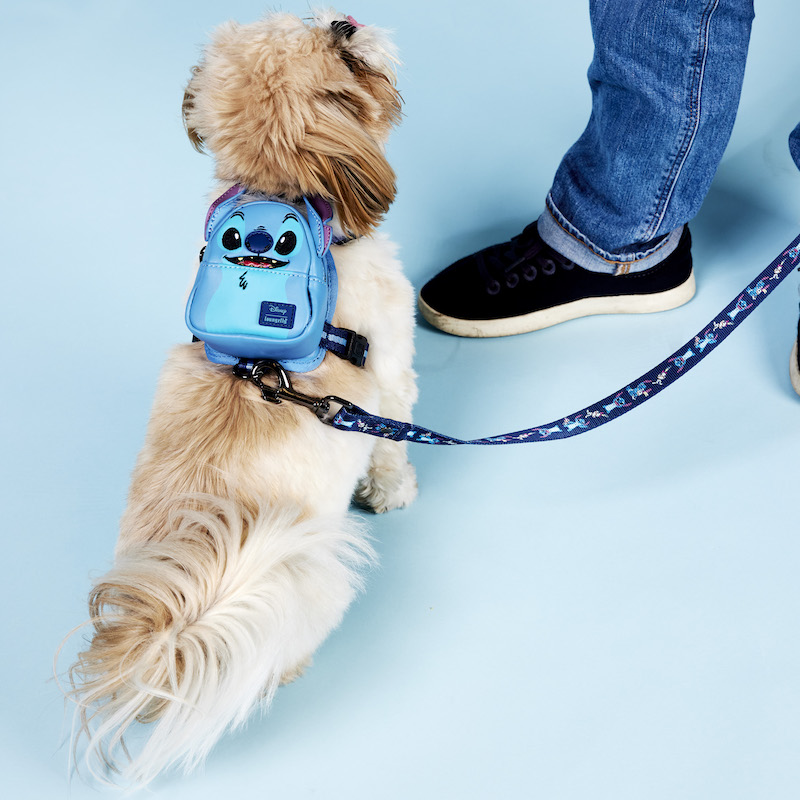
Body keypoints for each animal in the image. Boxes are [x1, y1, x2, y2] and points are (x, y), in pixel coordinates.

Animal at [65, 10, 416, 788]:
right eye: (344, 52)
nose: (346, 18)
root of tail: (163, 641)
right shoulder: (391, 367)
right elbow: (393, 439)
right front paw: (393, 491)